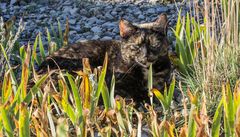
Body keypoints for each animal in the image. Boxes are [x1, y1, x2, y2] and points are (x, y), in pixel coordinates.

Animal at [37, 13, 172, 103]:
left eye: (154, 45)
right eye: (136, 46)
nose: (145, 55)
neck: (146, 71)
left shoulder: (161, 81)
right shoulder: (113, 82)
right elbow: (127, 94)